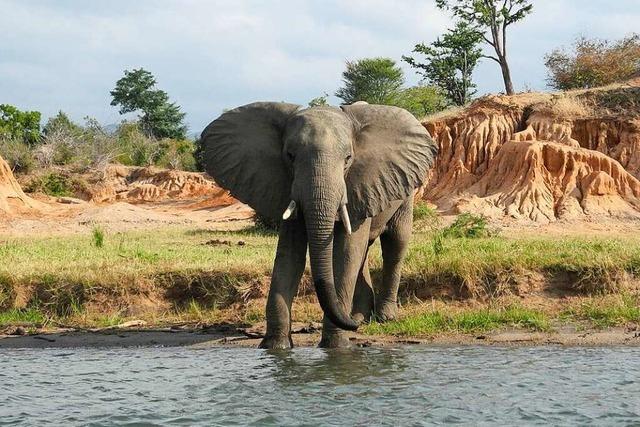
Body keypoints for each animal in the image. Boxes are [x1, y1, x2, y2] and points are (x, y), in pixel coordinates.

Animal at [201, 102, 436, 350]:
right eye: (290, 156)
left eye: (348, 158)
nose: (351, 327)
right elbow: (289, 255)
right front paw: (275, 347)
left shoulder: (358, 185)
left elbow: (345, 253)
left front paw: (336, 346)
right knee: (364, 254)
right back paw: (360, 316)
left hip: (405, 191)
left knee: (395, 243)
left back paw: (383, 318)